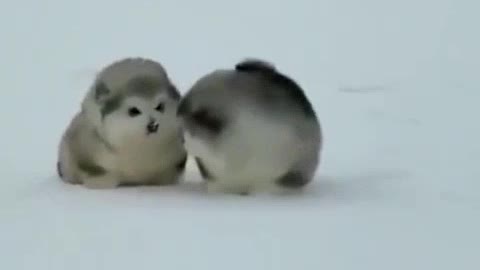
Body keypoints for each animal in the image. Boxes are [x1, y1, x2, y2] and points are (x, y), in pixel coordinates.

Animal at [57, 57, 187, 188]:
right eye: (134, 110)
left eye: (160, 106)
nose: (153, 124)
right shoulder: (82, 144)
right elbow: (90, 167)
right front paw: (99, 181)